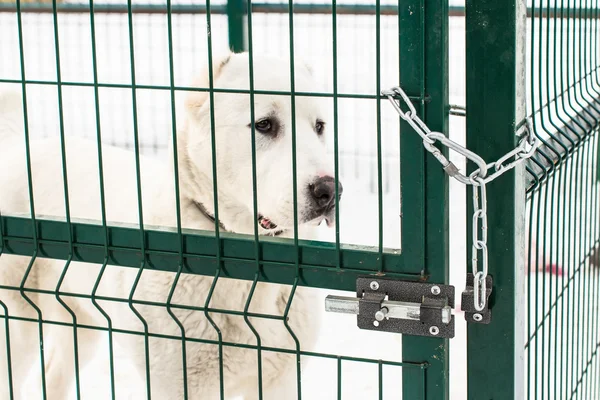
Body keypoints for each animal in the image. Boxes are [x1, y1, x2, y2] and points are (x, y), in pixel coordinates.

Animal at [0, 51, 342, 398]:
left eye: (319, 127)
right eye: (264, 124)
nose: (329, 191)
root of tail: (18, 147)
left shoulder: (280, 381)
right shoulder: (178, 385)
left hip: (79, 324)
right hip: (21, 324)